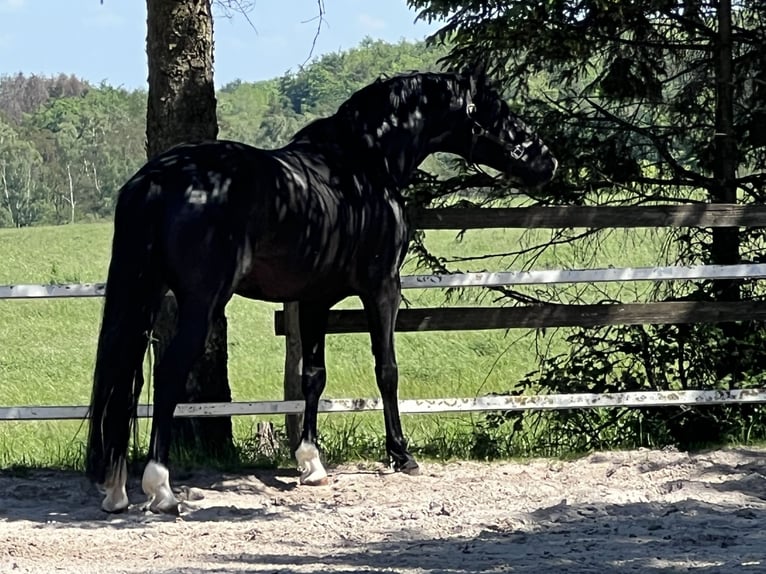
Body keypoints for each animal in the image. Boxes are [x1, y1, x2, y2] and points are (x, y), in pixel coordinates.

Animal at [87, 66, 560, 512]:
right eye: (500, 110)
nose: (548, 162)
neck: (363, 164)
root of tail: (159, 179)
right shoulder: (382, 288)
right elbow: (387, 370)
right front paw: (401, 455)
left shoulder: (313, 300)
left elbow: (313, 377)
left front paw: (311, 463)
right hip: (202, 302)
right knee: (166, 376)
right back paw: (161, 489)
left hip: (145, 294)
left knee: (126, 382)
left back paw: (116, 490)